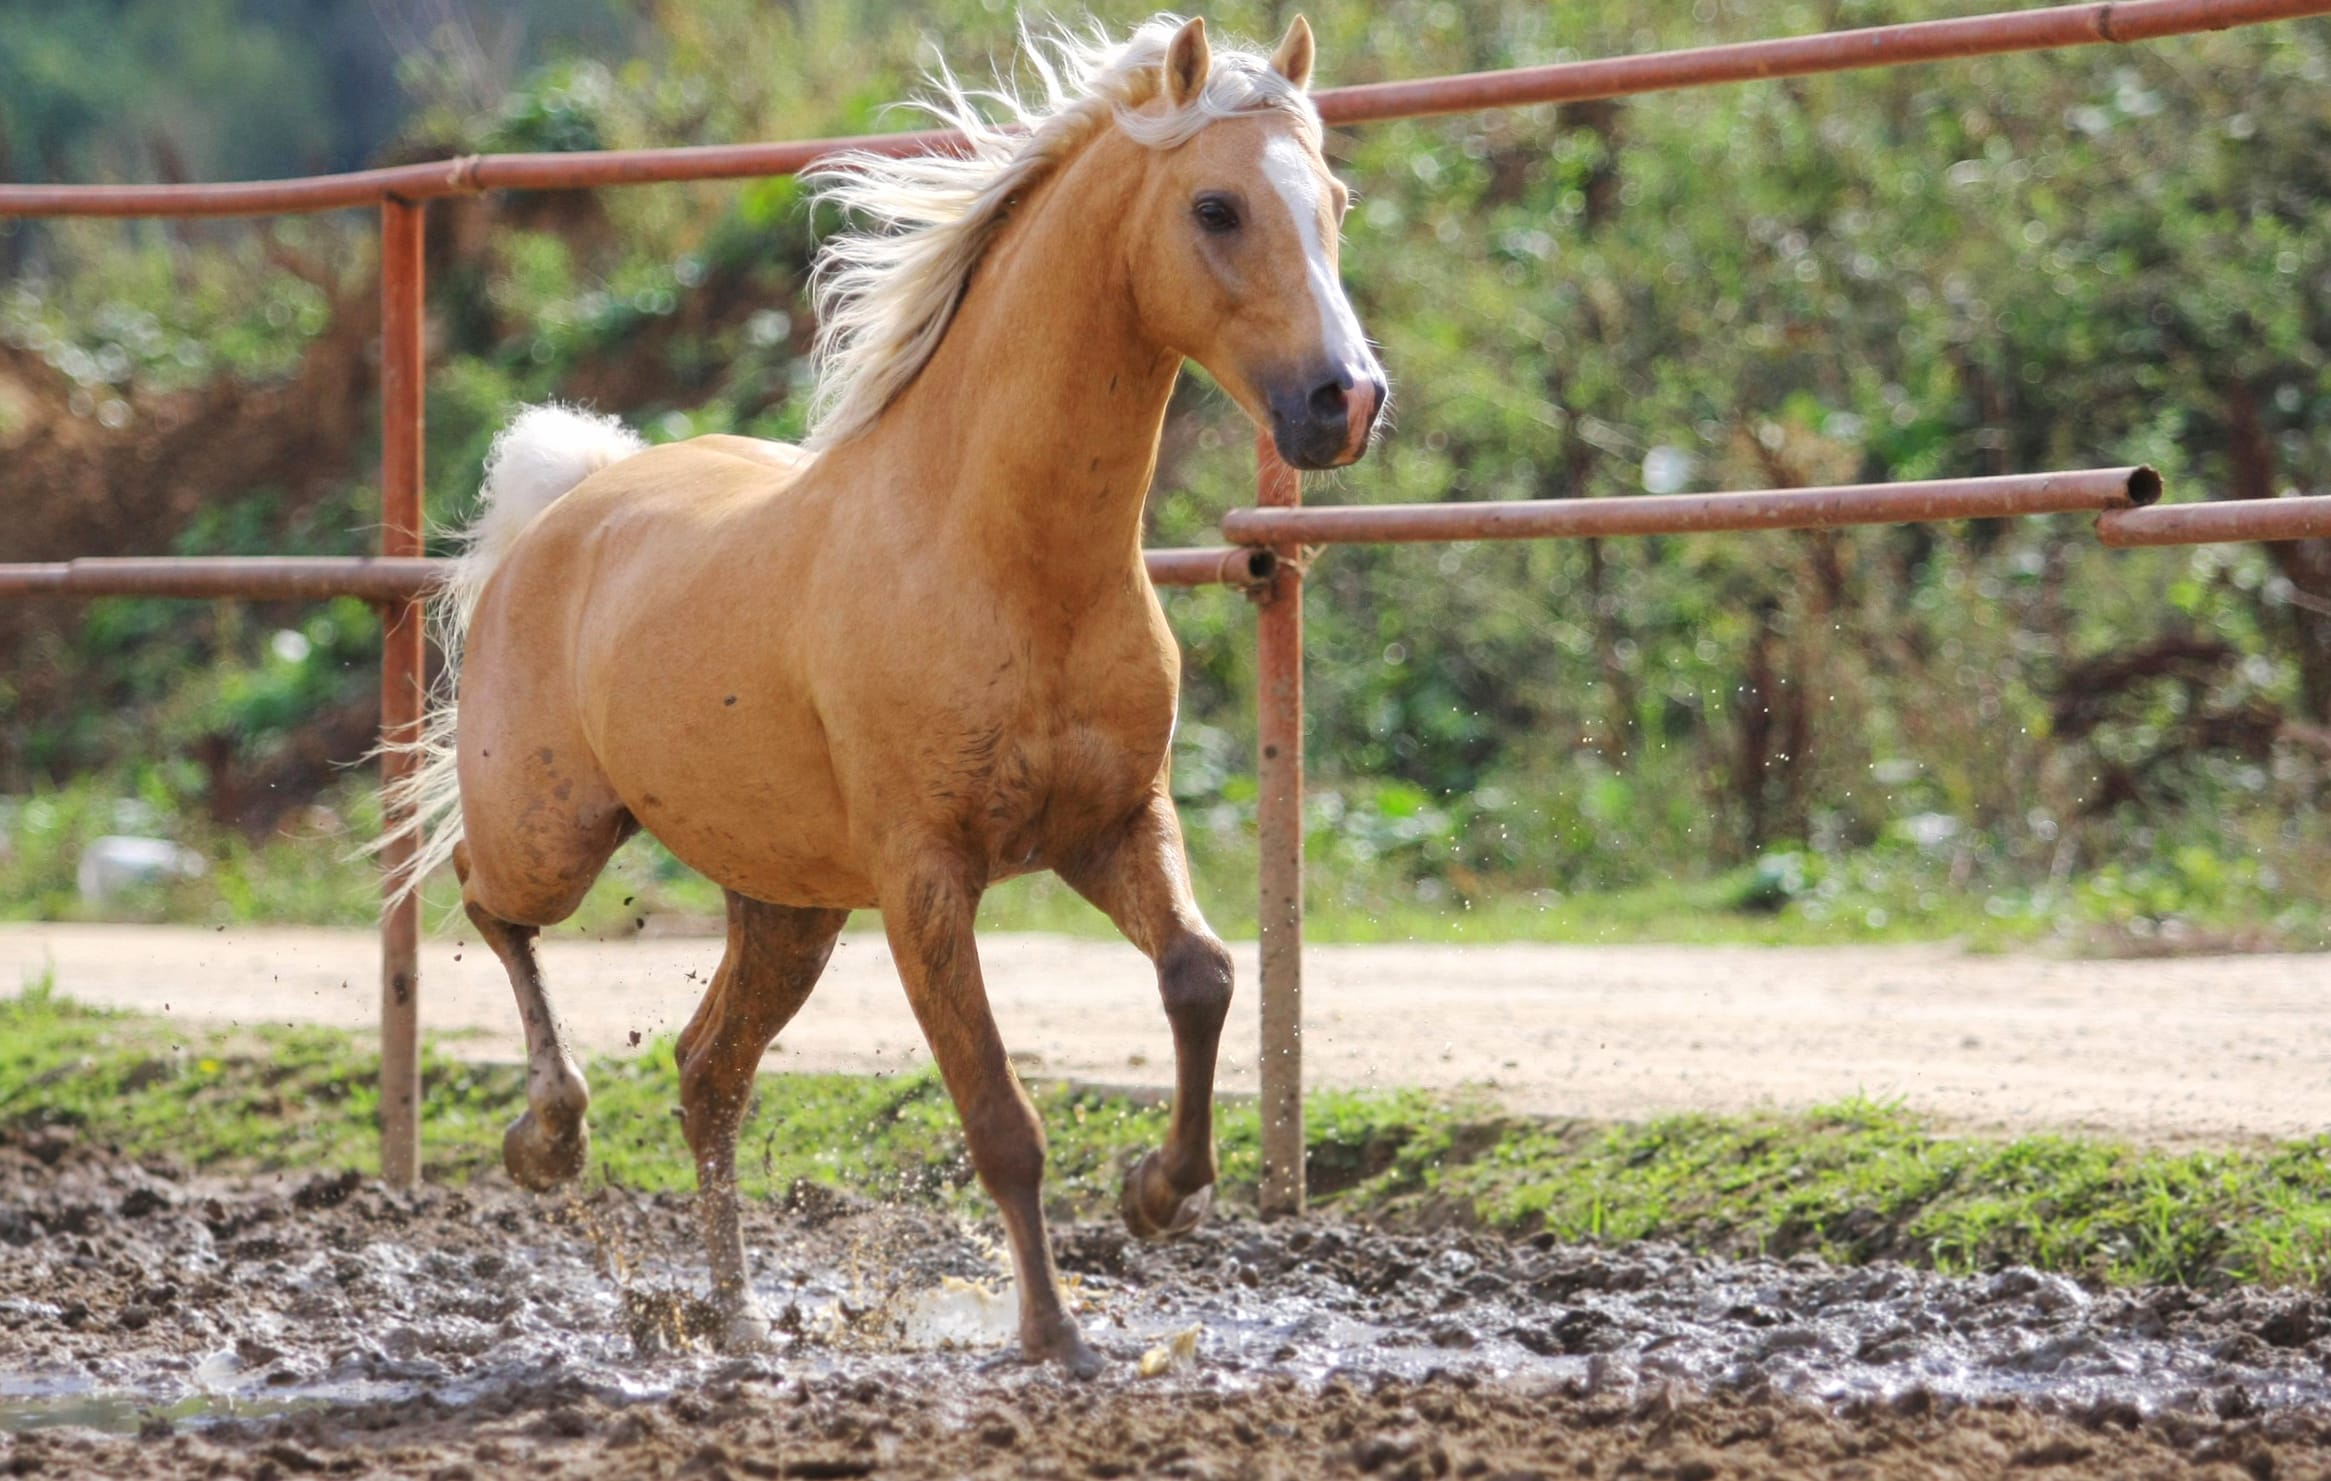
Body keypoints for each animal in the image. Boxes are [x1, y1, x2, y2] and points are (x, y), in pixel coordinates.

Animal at [386, 14, 1379, 1380]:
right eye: (1217, 207)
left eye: (1332, 199)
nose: (1347, 400)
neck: (1006, 558)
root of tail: (571, 498)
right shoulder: (925, 879)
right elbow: (1000, 1115)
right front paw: (1054, 1334)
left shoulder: (1114, 823)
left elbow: (1205, 973)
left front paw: (1158, 1193)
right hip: (557, 833)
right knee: (490, 901)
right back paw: (551, 1134)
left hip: (788, 904)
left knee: (707, 1072)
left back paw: (739, 1320)